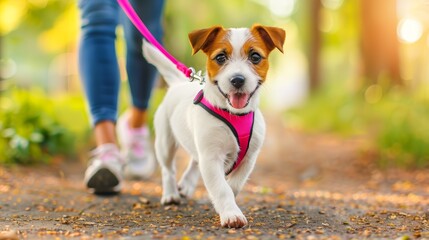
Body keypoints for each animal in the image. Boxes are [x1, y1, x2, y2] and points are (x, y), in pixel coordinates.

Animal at [143, 24, 284, 229]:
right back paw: (170, 194)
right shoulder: (211, 157)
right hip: (165, 142)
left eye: (255, 57)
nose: (237, 80)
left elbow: (233, 186)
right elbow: (222, 188)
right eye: (220, 57)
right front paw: (231, 214)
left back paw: (186, 185)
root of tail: (178, 83)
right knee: (168, 169)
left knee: (195, 160)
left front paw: (228, 206)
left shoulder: (248, 158)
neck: (233, 113)